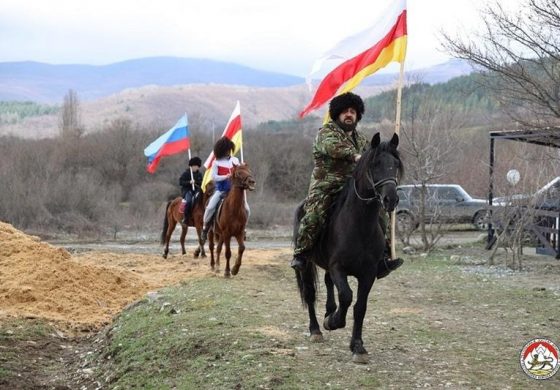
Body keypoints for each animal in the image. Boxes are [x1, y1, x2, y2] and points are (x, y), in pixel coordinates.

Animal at [294, 133, 402, 364]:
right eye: (375, 164)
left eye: (396, 164)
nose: (390, 199)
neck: (359, 225)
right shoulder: (339, 268)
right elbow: (346, 295)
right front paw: (333, 322)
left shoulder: (368, 273)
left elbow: (360, 307)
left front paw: (358, 347)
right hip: (306, 264)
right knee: (310, 293)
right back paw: (316, 329)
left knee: (327, 283)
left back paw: (329, 311)